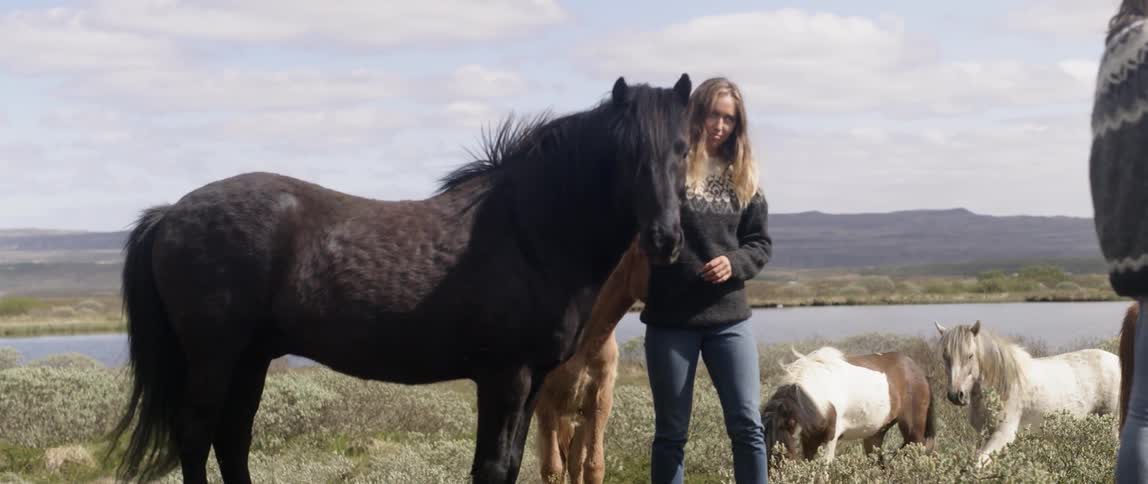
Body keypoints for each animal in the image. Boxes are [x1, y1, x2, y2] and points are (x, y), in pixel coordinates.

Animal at [762, 346, 936, 471]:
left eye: (783, 455)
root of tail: (919, 372)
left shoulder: (829, 438)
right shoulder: (809, 439)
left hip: (913, 429)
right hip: (875, 433)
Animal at [934, 320, 1121, 467]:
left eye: (970, 355)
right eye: (945, 356)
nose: (956, 395)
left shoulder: (1003, 434)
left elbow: (978, 464)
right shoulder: (984, 435)